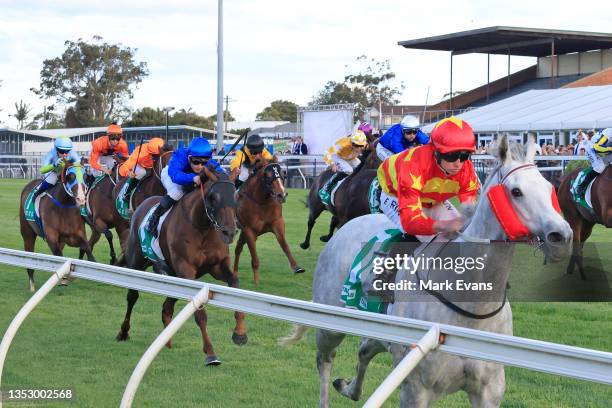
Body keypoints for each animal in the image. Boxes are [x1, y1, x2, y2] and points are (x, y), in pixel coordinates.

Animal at [19, 164, 94, 292]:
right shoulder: (51, 237)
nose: (81, 199)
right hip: (27, 234)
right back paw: (32, 285)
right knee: (29, 257)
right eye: (70, 177)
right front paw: (63, 278)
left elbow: (88, 250)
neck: (64, 207)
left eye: (85, 177)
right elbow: (59, 255)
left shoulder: (75, 236)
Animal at [115, 166, 244, 366]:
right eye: (213, 197)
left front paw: (239, 334)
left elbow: (235, 282)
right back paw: (123, 331)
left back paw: (166, 342)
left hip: (174, 276)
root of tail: (141, 206)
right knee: (132, 297)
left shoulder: (217, 266)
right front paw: (210, 353)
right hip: (137, 262)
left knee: (166, 307)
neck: (201, 227)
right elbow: (200, 314)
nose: (228, 232)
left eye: (235, 195)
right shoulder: (186, 270)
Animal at [233, 158, 304, 286]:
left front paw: (296, 267)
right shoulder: (249, 230)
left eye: (283, 173)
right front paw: (256, 282)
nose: (282, 195)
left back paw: (235, 273)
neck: (262, 202)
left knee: (238, 248)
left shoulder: (277, 223)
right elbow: (255, 259)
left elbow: (285, 246)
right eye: (267, 176)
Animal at [282, 137, 572, 408]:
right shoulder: (417, 388)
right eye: (516, 191)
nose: (562, 237)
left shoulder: (489, 390)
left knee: (365, 348)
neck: (470, 305)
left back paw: (349, 387)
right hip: (330, 323)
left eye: (549, 188)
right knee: (324, 360)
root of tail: (347, 226)